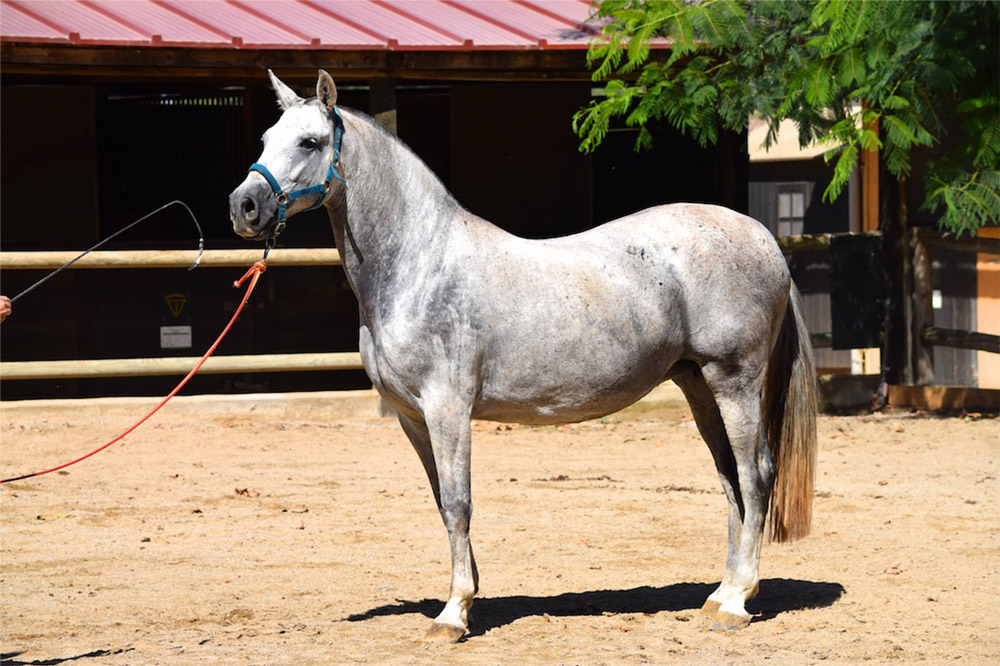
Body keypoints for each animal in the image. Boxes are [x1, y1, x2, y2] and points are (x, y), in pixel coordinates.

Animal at [230, 70, 816, 640]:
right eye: (264, 139)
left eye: (310, 141)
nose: (244, 206)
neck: (420, 265)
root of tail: (762, 237)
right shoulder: (412, 417)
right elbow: (443, 501)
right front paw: (468, 595)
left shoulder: (448, 409)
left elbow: (459, 502)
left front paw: (454, 614)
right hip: (697, 384)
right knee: (730, 479)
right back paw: (720, 593)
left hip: (734, 382)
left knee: (756, 475)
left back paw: (738, 602)